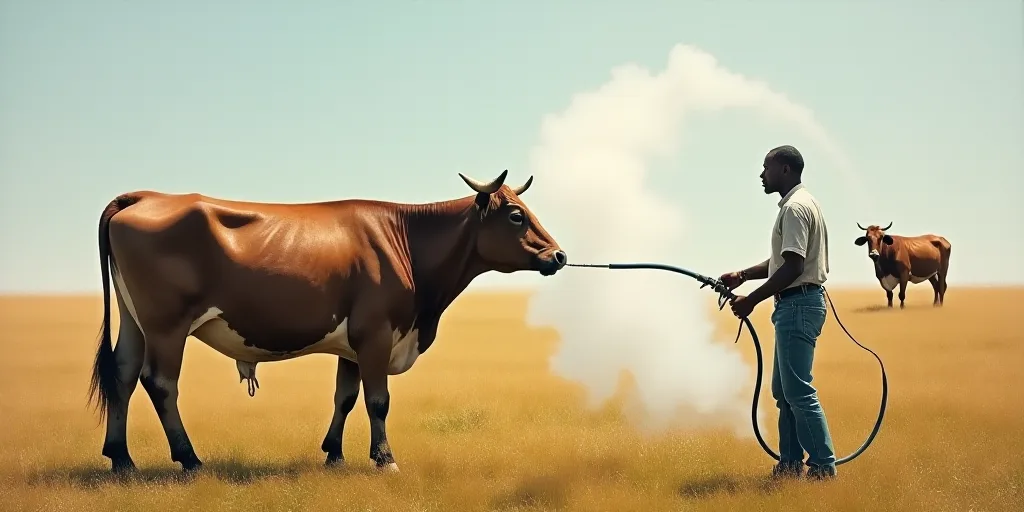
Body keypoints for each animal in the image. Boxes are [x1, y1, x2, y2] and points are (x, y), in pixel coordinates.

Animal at [87, 169, 567, 475]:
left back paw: (122, 459)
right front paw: (384, 459)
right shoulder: (376, 332)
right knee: (160, 383)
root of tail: (146, 196)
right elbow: (378, 400)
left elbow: (345, 396)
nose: (559, 255)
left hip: (135, 322)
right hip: (166, 324)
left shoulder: (354, 342)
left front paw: (334, 454)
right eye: (516, 215)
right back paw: (188, 459)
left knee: (123, 374)